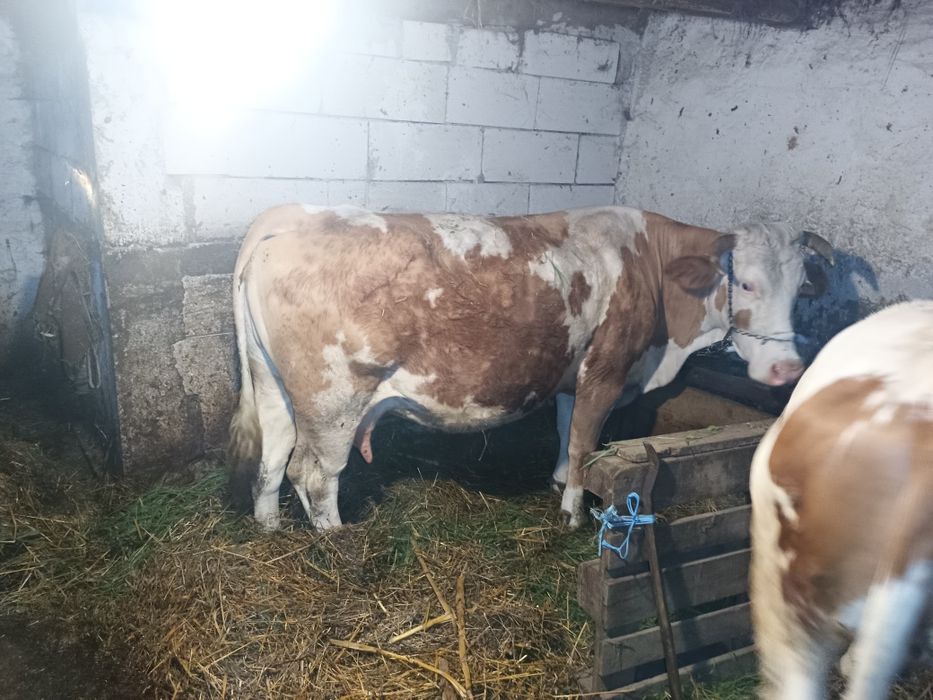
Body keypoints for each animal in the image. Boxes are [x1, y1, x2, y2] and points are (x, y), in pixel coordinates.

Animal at [227, 204, 830, 531]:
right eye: (745, 283)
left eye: (803, 285)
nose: (787, 369)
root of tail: (290, 217)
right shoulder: (607, 368)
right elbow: (586, 441)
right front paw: (573, 512)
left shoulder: (572, 372)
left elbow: (565, 430)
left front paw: (560, 481)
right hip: (334, 400)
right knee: (314, 473)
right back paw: (338, 541)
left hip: (272, 385)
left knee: (273, 456)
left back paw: (268, 525)